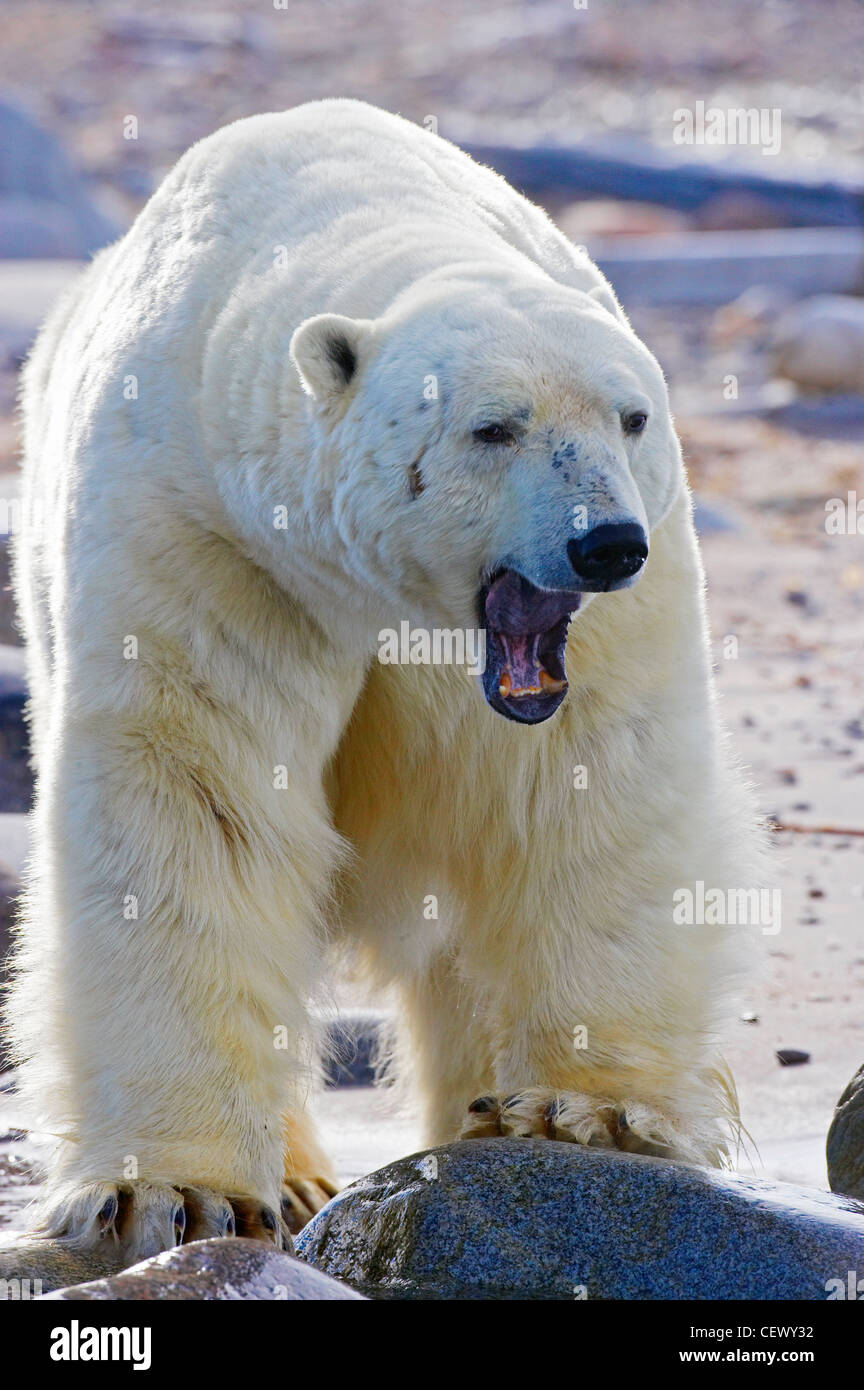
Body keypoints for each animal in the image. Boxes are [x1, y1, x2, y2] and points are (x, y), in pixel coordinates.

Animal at [8, 95, 755, 1251]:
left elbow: (593, 789)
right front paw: (173, 1188)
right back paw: (300, 1177)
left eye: (631, 415)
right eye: (494, 428)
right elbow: (193, 800)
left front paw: (585, 1110)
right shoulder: (207, 539)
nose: (605, 544)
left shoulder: (618, 608)